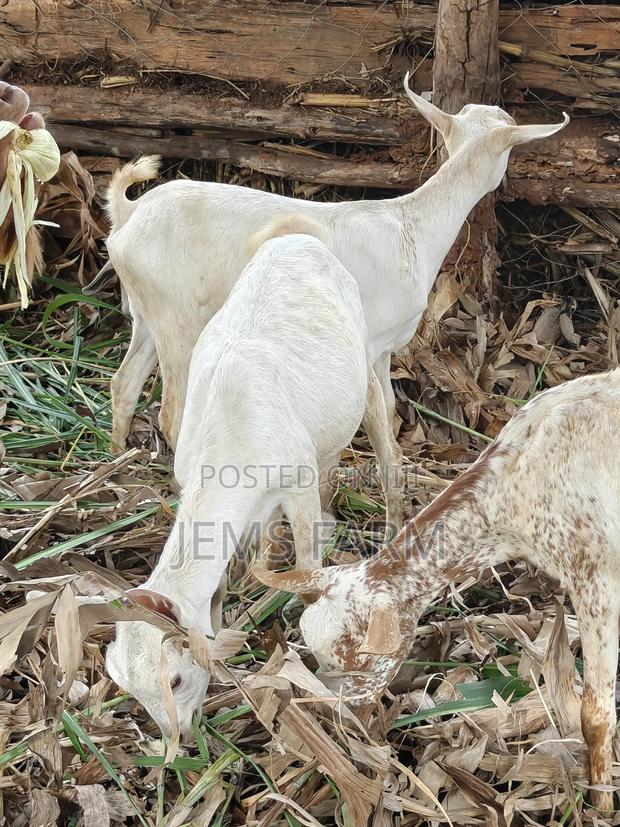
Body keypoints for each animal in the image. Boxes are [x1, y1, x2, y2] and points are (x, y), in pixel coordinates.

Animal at [103, 76, 568, 452]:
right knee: (171, 412)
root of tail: (128, 215)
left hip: (147, 311)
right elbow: (377, 416)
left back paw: (119, 457)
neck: (411, 224)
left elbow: (391, 412)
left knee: (123, 384)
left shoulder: (385, 348)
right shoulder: (371, 340)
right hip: (177, 316)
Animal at [106, 216, 403, 739]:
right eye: (133, 693)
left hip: (365, 362)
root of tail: (298, 234)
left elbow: (308, 562)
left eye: (176, 679)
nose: (181, 740)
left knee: (383, 434)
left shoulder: (296, 482)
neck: (231, 424)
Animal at [256, 368, 620, 813]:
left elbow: (595, 714)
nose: (340, 721)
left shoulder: (598, 575)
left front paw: (601, 804)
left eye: (359, 659)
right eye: (319, 658)